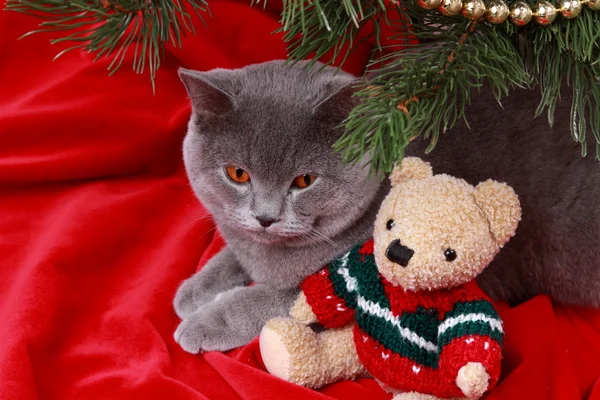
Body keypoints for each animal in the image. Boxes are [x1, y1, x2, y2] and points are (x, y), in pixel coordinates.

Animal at [173, 59, 600, 354]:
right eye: (238, 174)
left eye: (304, 181)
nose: (266, 217)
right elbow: (231, 255)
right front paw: (194, 290)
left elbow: (265, 298)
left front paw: (203, 322)